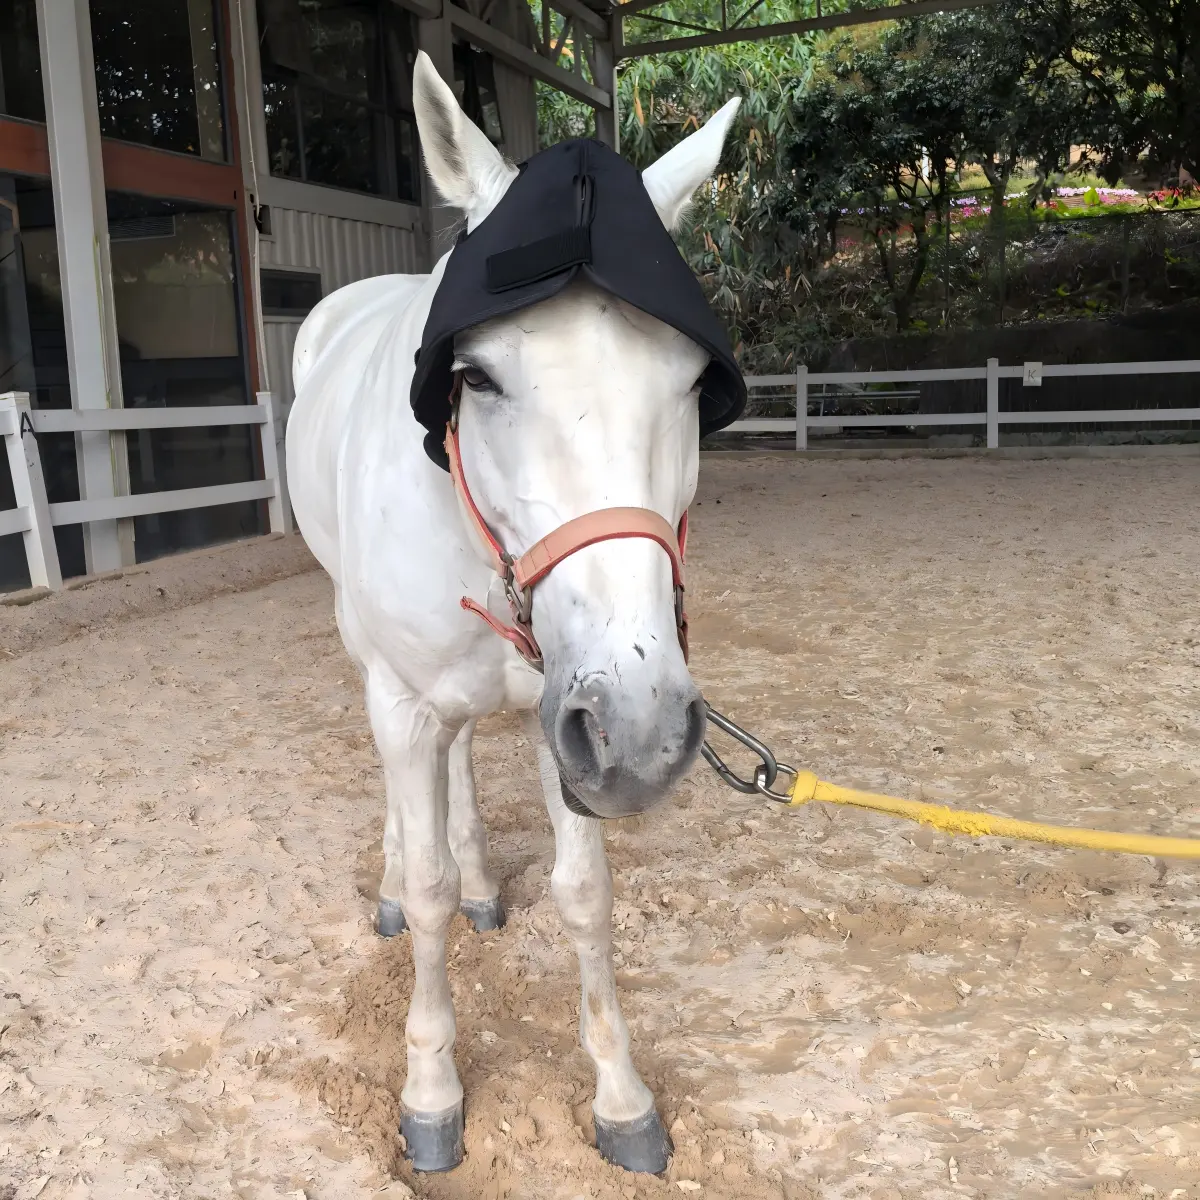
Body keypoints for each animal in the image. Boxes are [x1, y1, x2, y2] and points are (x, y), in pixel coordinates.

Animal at [286, 50, 741, 1175]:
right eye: (477, 376)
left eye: (691, 381)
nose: (647, 733)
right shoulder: (410, 702)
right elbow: (431, 893)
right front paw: (431, 1093)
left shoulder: (567, 713)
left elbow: (584, 895)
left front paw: (622, 1100)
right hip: (374, 661)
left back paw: (486, 880)